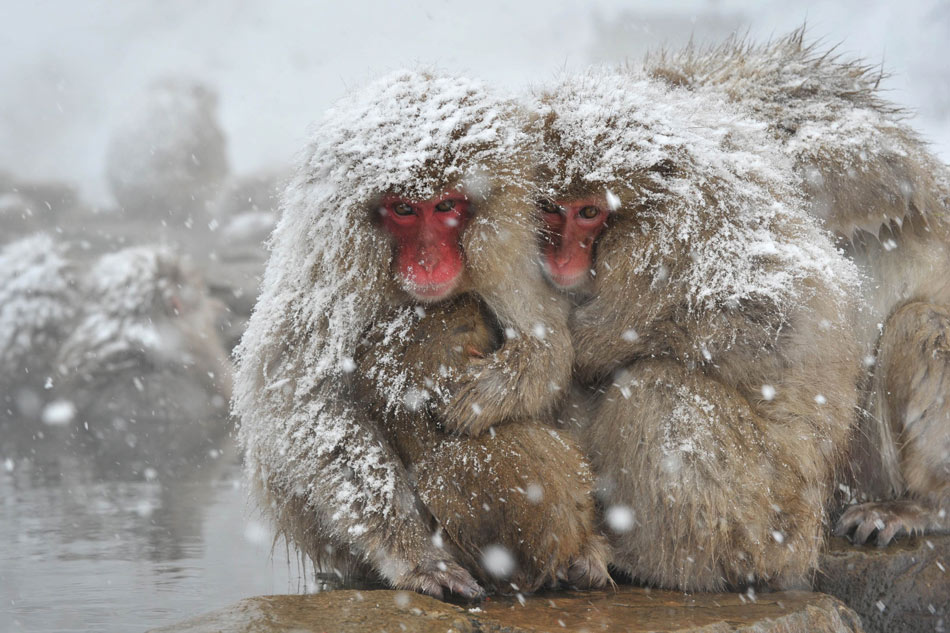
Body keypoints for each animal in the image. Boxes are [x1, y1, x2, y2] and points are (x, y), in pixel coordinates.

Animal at [234, 71, 576, 600]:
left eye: (446, 205)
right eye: (403, 209)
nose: (429, 260)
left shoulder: (508, 251)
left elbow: (547, 345)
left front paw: (484, 393)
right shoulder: (333, 262)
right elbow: (305, 400)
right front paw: (417, 558)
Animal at [536, 66, 864, 592]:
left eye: (588, 212)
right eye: (550, 206)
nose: (561, 257)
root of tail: (802, 547)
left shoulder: (670, 254)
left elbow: (755, 321)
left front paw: (594, 341)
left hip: (765, 510)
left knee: (657, 390)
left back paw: (651, 562)